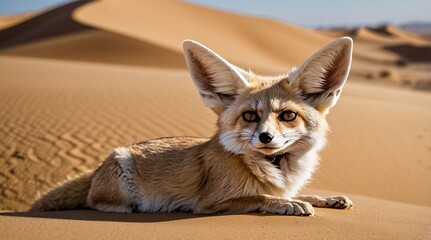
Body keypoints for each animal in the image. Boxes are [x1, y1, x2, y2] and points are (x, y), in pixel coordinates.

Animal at [31, 37, 354, 216]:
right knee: (94, 202)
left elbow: (297, 193)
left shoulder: (286, 186)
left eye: (287, 116)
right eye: (250, 116)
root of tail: (98, 168)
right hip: (121, 174)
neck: (278, 169)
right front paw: (288, 205)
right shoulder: (209, 203)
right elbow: (261, 196)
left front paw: (325, 198)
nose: (265, 137)